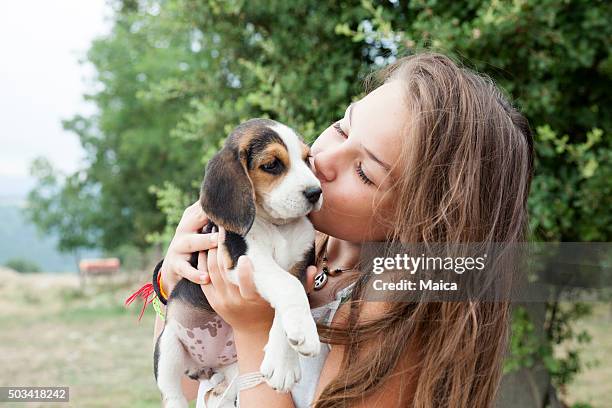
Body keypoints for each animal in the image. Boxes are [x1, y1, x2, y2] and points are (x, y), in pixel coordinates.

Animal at [154, 118, 320, 408]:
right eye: (272, 165)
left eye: (306, 159)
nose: (316, 192)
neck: (278, 226)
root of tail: (206, 366)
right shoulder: (246, 258)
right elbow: (288, 287)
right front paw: (304, 335)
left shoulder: (300, 266)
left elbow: (292, 293)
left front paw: (283, 364)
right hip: (168, 345)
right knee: (171, 391)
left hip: (232, 366)